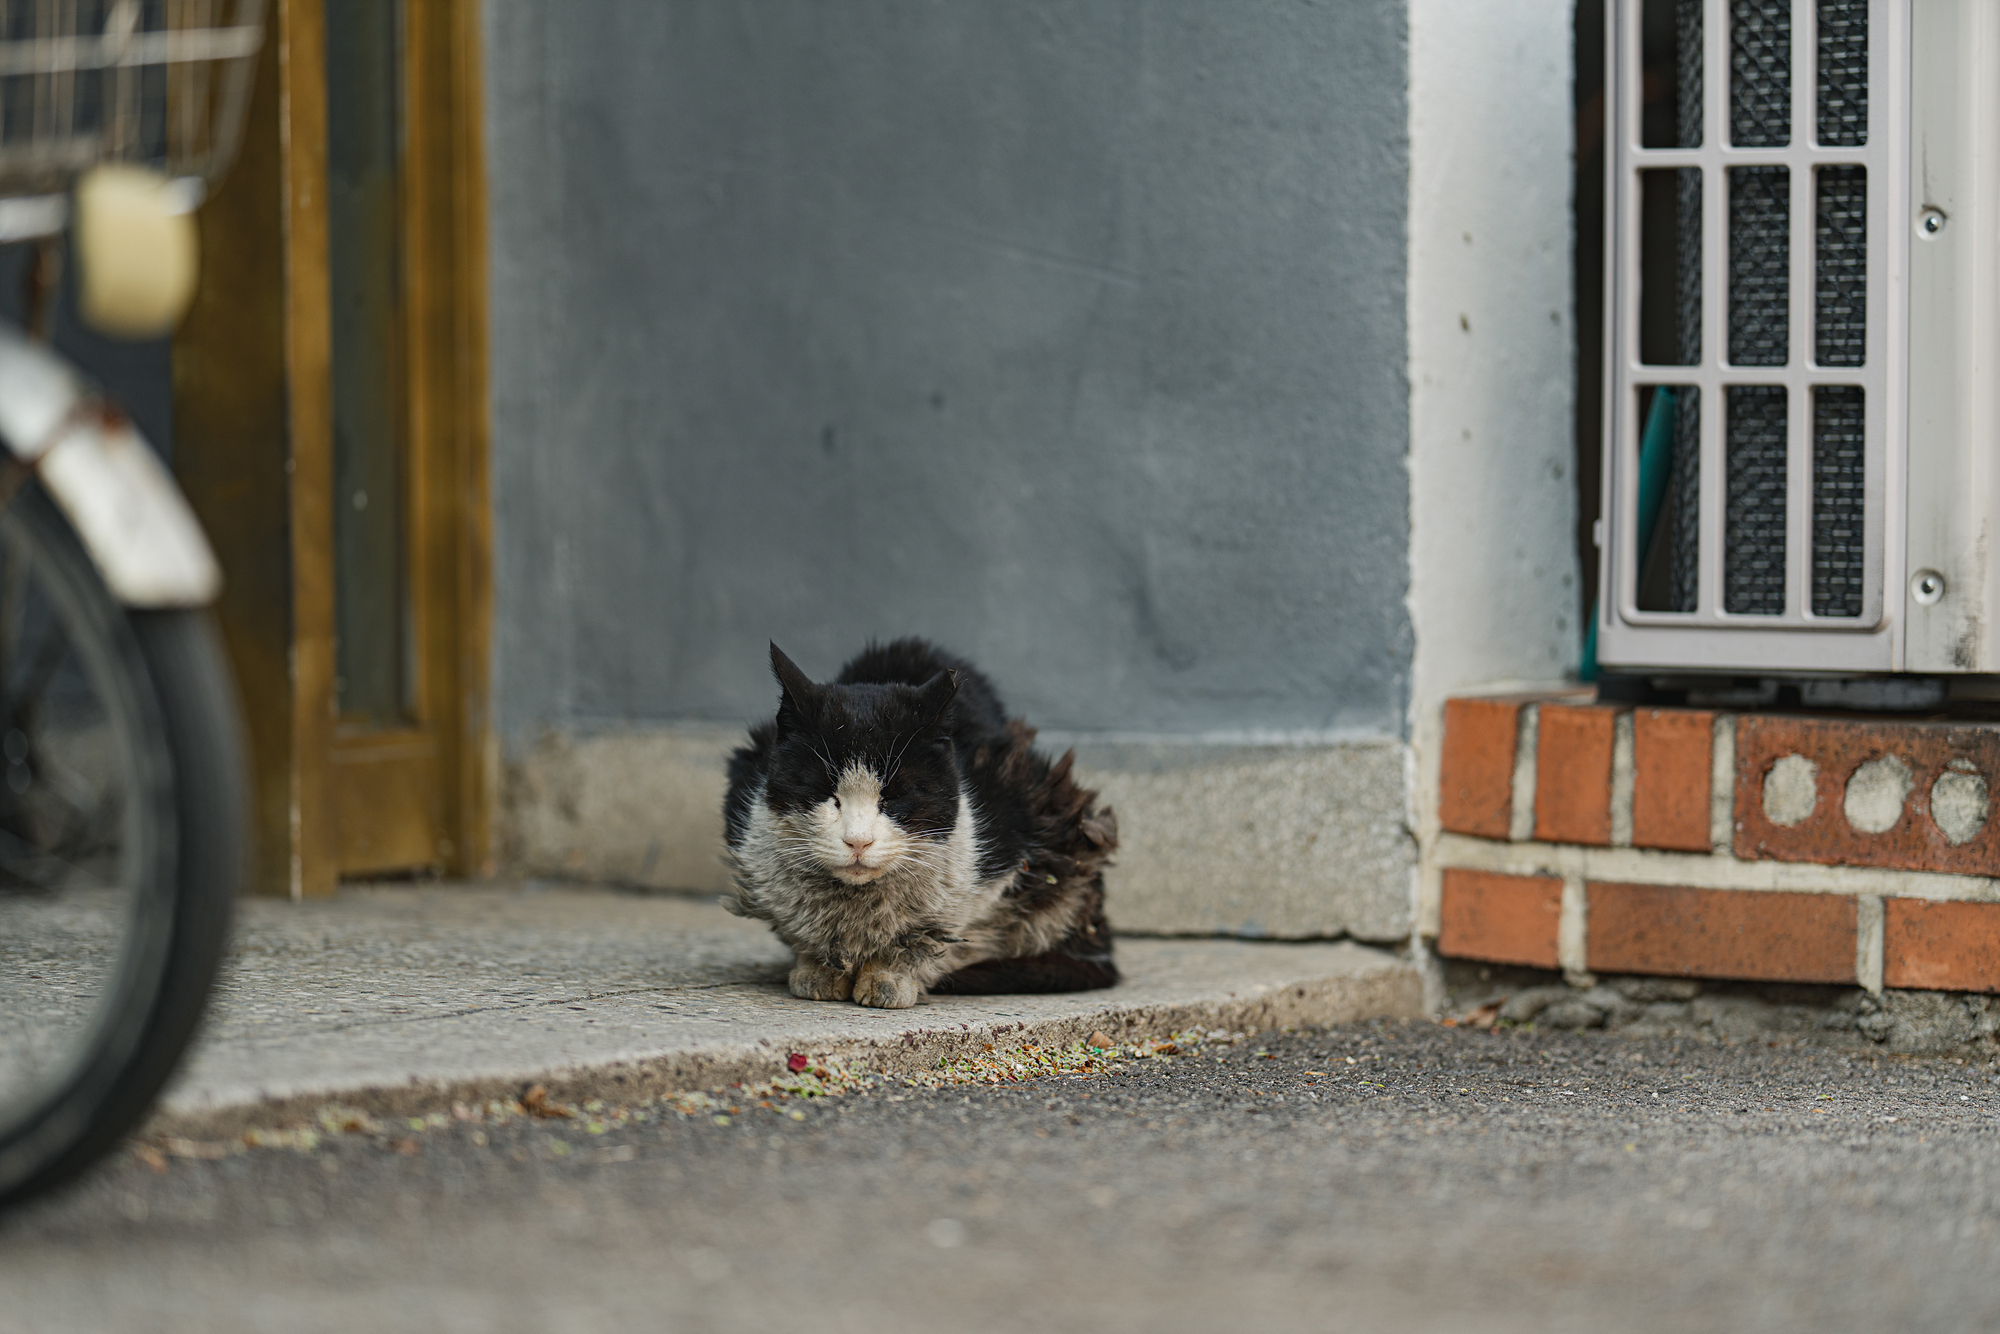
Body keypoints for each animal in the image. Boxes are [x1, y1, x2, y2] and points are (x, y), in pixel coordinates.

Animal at [724, 640, 1128, 1008]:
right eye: (826, 793)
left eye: (893, 797)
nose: (858, 841)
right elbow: (803, 933)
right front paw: (817, 970)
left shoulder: (1002, 866)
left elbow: (937, 938)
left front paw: (889, 977)